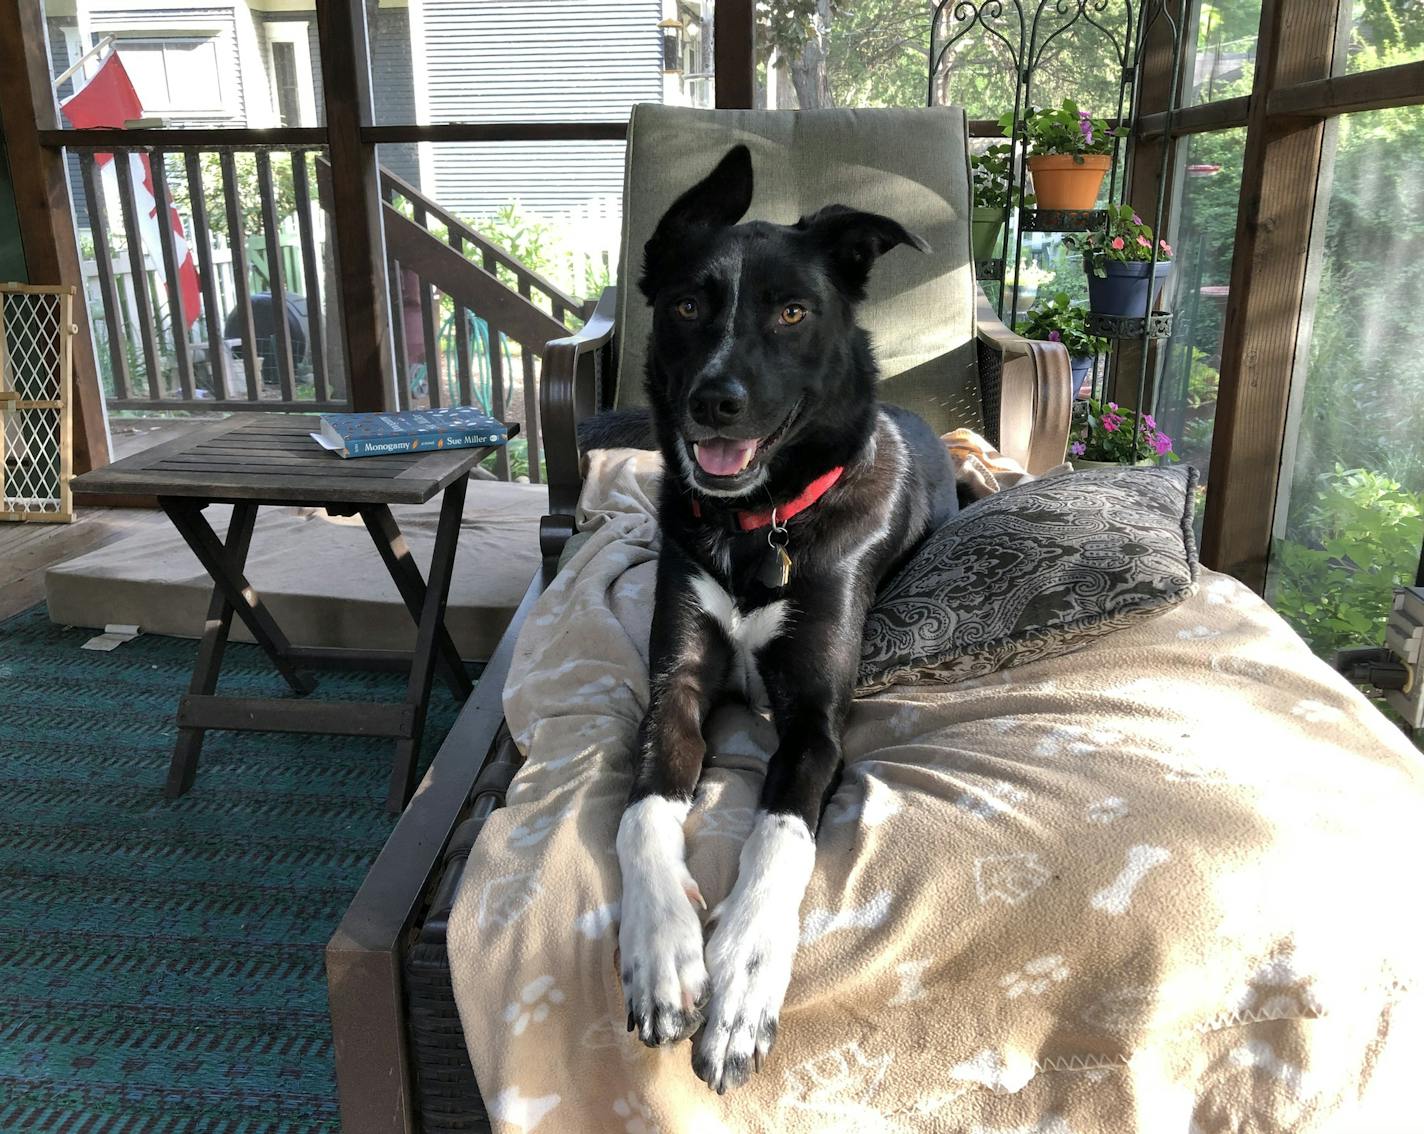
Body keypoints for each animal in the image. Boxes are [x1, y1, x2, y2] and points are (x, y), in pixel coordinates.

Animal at [615, 146, 956, 1094]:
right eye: (688, 305)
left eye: (794, 312)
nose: (714, 401)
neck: (755, 525)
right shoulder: (675, 684)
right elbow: (642, 809)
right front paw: (662, 950)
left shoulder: (814, 720)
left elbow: (781, 835)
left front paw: (743, 981)